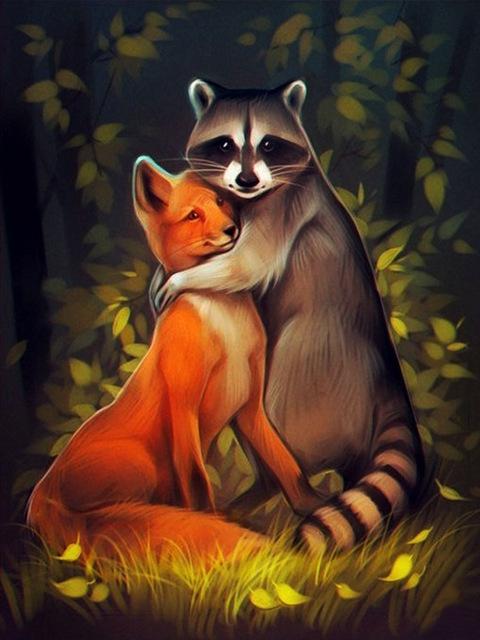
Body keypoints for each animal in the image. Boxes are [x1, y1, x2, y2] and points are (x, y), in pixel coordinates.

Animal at [27, 162, 322, 561]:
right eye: (193, 215)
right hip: (141, 463)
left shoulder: (250, 407)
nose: (232, 230)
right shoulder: (183, 407)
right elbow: (197, 482)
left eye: (219, 203)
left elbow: (286, 464)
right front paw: (212, 522)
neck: (225, 329)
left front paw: (316, 505)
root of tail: (41, 498)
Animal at [150, 79, 426, 552]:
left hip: (312, 370)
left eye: (268, 144)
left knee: (273, 403)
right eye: (225, 144)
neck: (250, 196)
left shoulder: (284, 211)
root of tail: (388, 385)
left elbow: (246, 265)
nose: (246, 179)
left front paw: (184, 278)